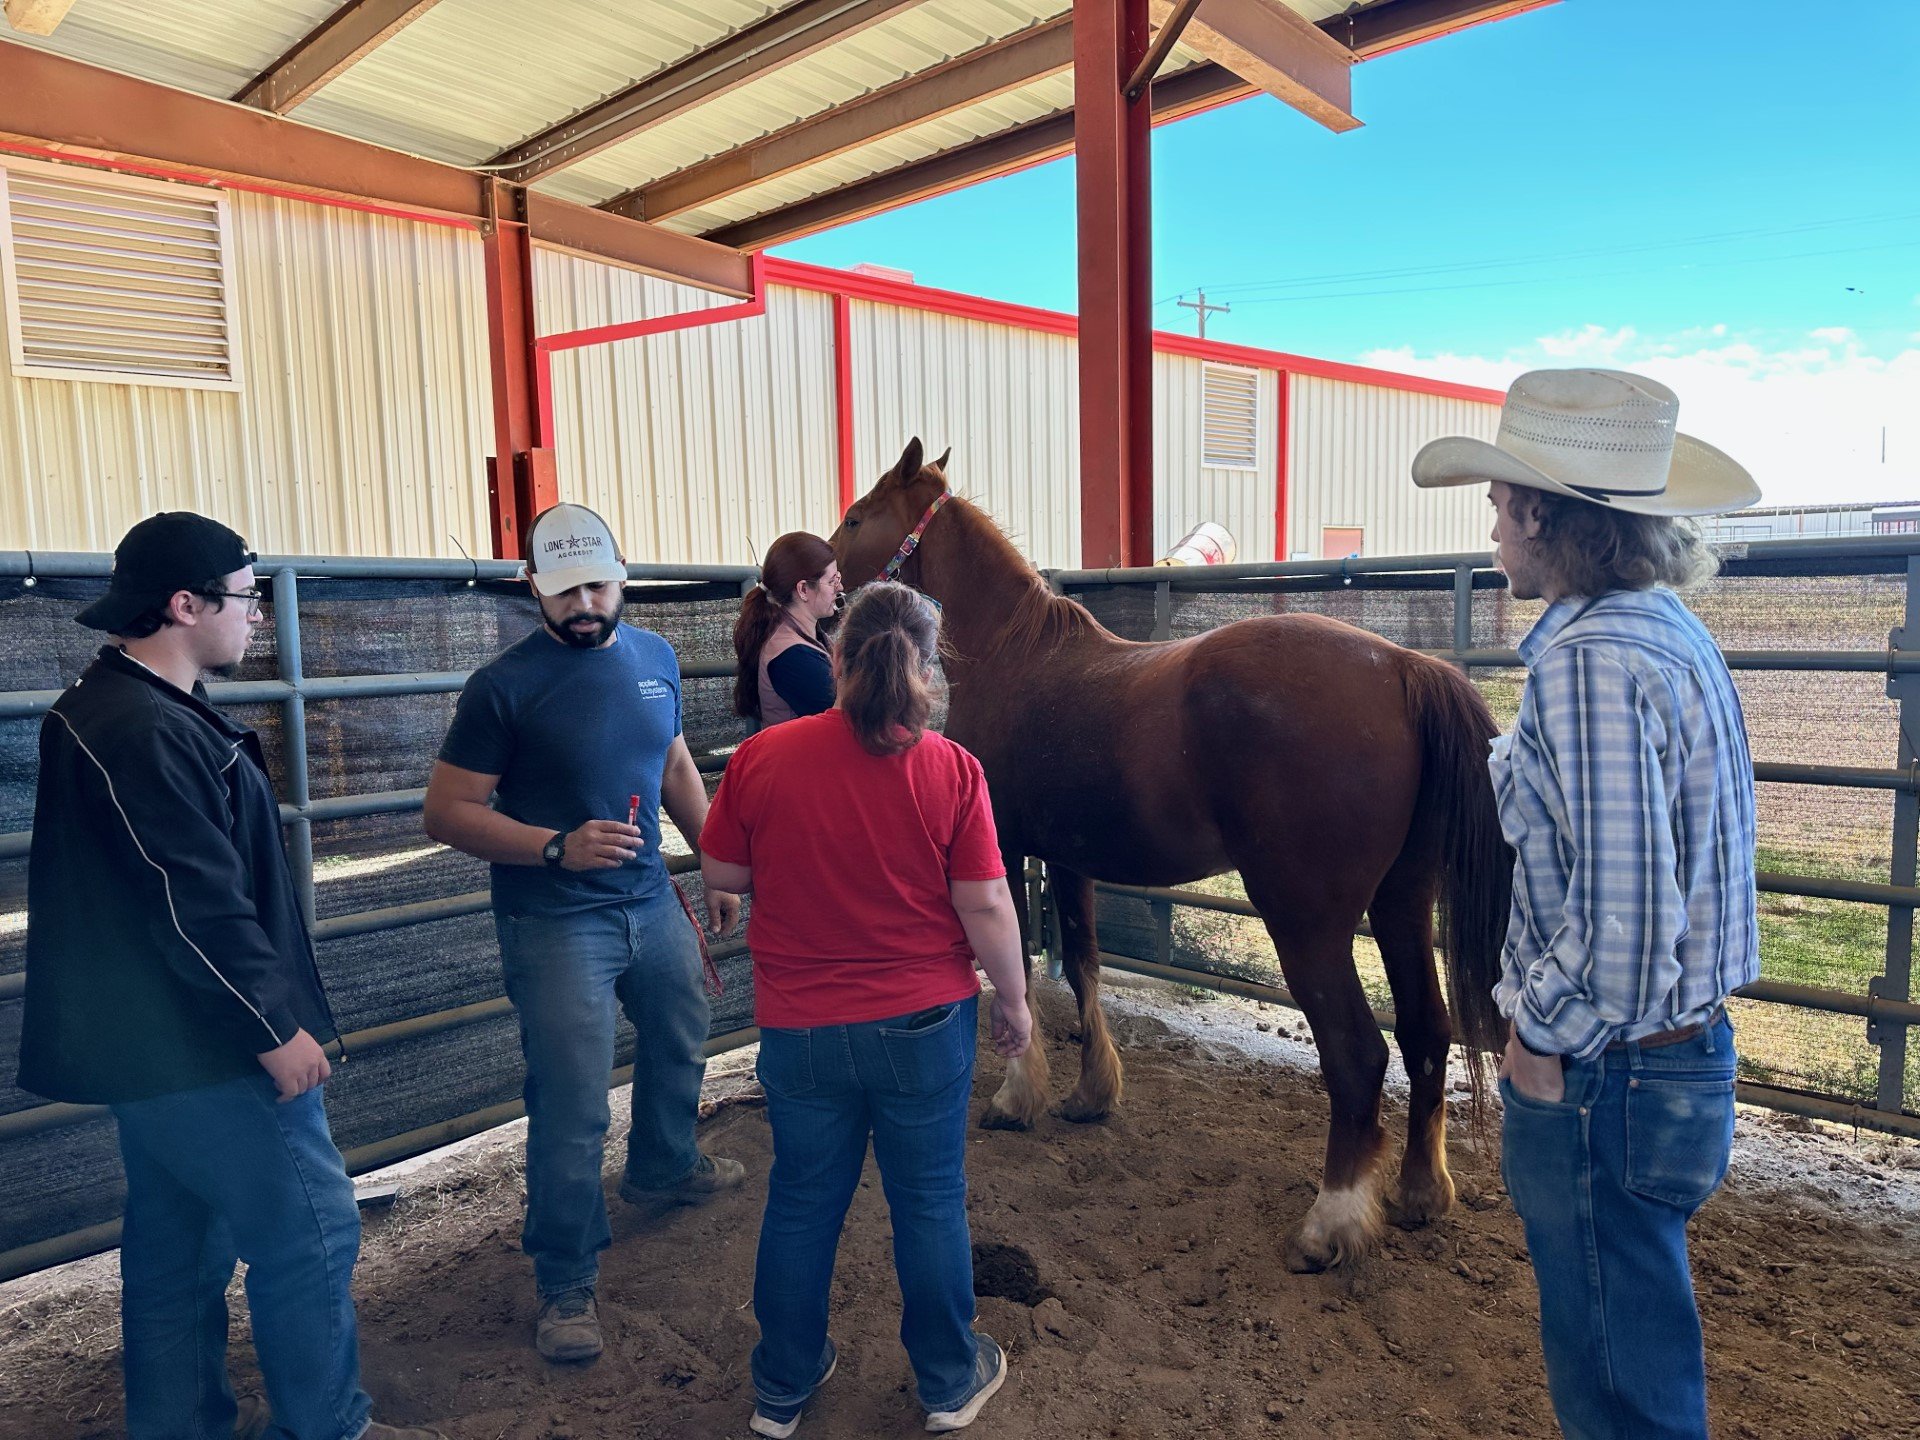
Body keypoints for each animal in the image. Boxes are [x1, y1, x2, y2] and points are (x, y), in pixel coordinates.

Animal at [829, 439, 1512, 1274]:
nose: (821, 587)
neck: (1012, 654)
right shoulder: (1071, 858)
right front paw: (1090, 1096)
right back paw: (1419, 1193)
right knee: (1424, 1033)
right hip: (1402, 904)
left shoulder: (1006, 850)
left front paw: (1017, 1099)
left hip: (1308, 922)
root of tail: (1405, 668)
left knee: (1357, 1053)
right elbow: (1082, 965)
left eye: (857, 516)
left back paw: (1330, 1225)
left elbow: (1017, 972)